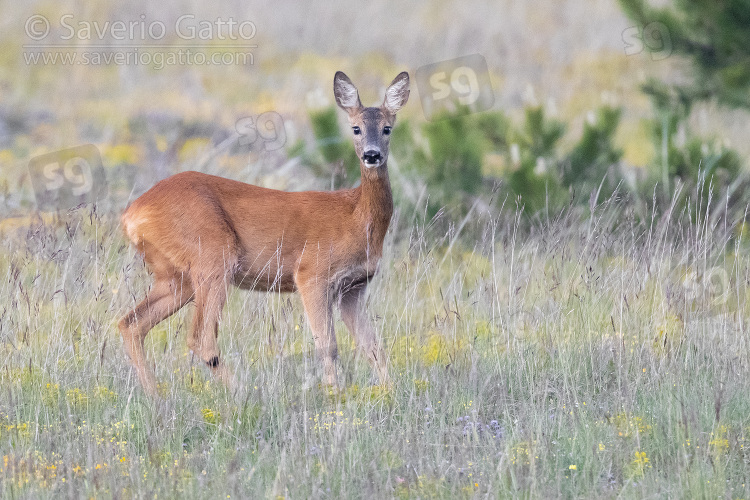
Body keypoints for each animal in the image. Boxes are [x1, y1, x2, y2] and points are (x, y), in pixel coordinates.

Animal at [119, 72, 412, 396]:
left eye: (387, 128)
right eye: (356, 128)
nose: (372, 155)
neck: (356, 216)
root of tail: (131, 215)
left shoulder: (354, 287)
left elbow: (372, 346)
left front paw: (389, 392)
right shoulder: (311, 274)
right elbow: (328, 346)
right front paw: (334, 396)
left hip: (175, 277)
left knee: (131, 323)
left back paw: (155, 396)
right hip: (213, 257)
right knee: (200, 338)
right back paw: (243, 394)